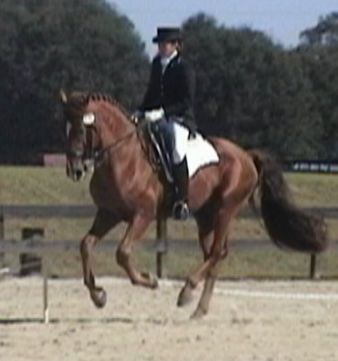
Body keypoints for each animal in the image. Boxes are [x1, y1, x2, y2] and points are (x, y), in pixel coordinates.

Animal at [60, 90, 328, 318]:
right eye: (66, 128)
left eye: (83, 129)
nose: (75, 170)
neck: (123, 157)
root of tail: (246, 155)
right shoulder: (109, 213)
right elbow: (86, 245)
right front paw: (98, 296)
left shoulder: (142, 215)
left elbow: (122, 253)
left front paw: (150, 280)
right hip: (206, 216)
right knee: (215, 255)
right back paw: (199, 308)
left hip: (226, 209)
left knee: (217, 252)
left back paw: (187, 291)